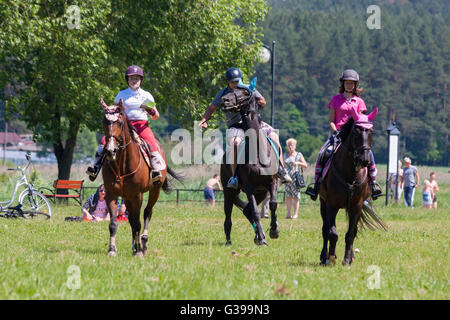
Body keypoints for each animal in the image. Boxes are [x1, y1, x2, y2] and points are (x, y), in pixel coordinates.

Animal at [100, 99, 181, 256]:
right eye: (104, 121)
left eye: (120, 122)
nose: (110, 150)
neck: (121, 166)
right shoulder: (111, 194)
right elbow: (114, 223)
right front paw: (112, 250)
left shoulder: (137, 195)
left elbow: (138, 223)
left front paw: (138, 251)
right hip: (127, 197)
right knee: (132, 219)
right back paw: (134, 246)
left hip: (154, 191)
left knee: (147, 213)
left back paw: (142, 243)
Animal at [221, 109, 282, 246]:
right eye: (244, 121)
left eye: (258, 119)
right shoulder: (249, 187)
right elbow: (255, 211)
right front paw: (263, 239)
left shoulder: (272, 182)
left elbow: (273, 204)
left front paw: (274, 231)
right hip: (229, 193)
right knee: (228, 216)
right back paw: (229, 241)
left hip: (261, 193)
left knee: (246, 211)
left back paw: (259, 235)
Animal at [316, 109, 386, 266]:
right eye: (355, 131)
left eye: (371, 131)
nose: (364, 159)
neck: (350, 173)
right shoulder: (331, 205)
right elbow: (332, 233)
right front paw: (331, 257)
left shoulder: (357, 206)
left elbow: (350, 234)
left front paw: (347, 259)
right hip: (323, 203)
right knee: (325, 230)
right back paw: (324, 257)